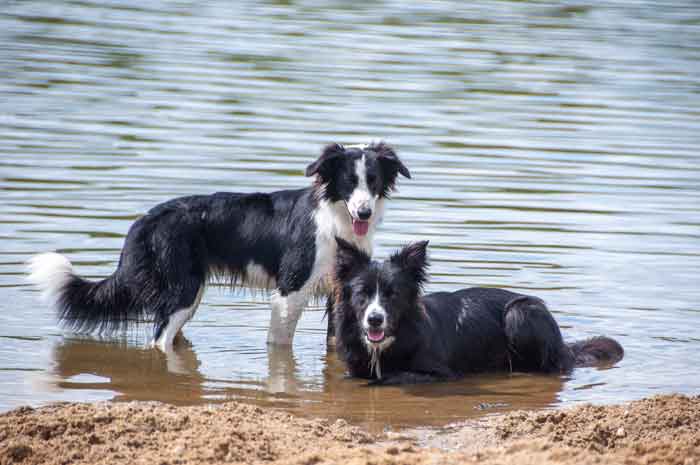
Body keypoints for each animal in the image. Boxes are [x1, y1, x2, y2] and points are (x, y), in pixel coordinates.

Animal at [27, 143, 410, 350]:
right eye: (348, 181)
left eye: (373, 181)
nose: (364, 211)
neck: (336, 222)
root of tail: (147, 219)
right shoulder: (290, 291)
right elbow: (280, 345)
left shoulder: (340, 291)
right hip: (183, 290)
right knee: (160, 342)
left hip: (188, 293)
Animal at [334, 237, 624, 382]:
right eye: (362, 294)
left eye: (393, 295)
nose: (375, 320)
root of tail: (564, 346)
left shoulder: (441, 373)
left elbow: (392, 377)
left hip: (520, 312)